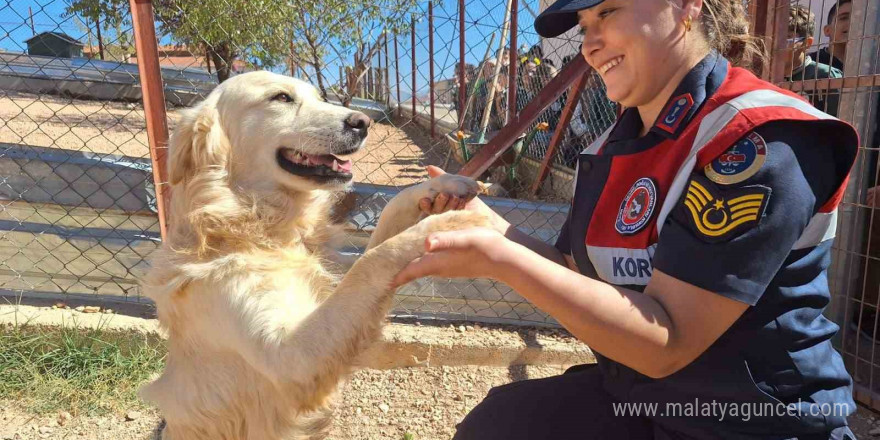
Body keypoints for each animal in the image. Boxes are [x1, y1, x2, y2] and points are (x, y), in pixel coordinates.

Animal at [141, 70, 492, 438]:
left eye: (318, 97)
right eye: (281, 98)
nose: (363, 122)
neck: (261, 227)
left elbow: (386, 223)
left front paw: (442, 187)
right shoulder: (290, 357)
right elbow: (373, 259)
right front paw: (445, 223)